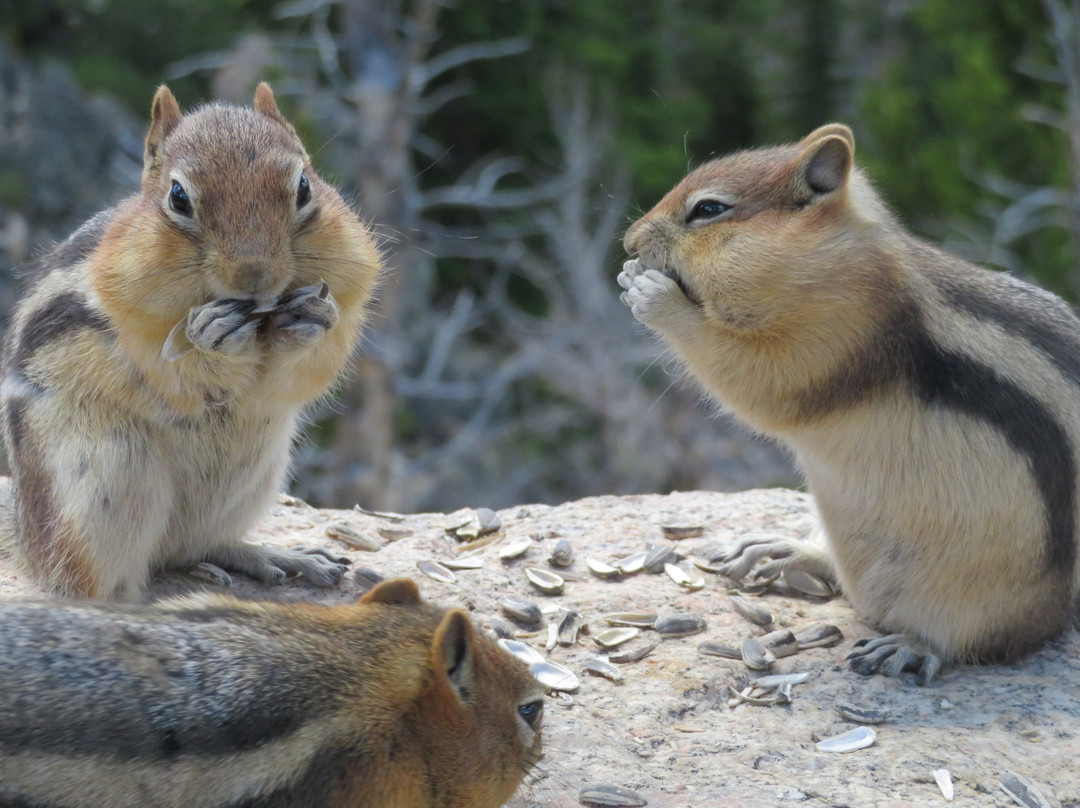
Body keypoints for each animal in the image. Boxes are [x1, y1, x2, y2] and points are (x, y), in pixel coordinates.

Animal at [0, 83, 381, 599]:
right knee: (90, 578)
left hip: (259, 475)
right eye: (178, 197)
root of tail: (25, 539)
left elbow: (305, 372)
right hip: (105, 477)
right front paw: (210, 338)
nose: (254, 276)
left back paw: (276, 556)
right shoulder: (130, 327)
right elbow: (178, 376)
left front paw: (313, 318)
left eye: (304, 187)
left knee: (192, 547)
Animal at [619, 124, 1080, 684]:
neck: (836, 260)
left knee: (969, 640)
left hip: (981, 597)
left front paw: (651, 294)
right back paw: (784, 549)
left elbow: (762, 379)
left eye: (709, 209)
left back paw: (907, 645)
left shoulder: (843, 331)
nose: (629, 241)